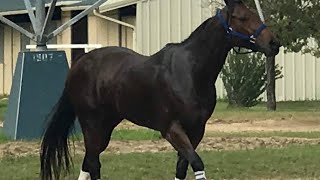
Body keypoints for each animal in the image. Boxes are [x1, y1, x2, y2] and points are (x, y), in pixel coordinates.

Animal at [40, 0, 280, 179]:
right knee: (93, 163)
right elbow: (197, 163)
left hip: (106, 125)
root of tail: (79, 63)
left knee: (89, 163)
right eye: (242, 17)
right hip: (92, 124)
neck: (190, 71)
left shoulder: (196, 130)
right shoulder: (171, 129)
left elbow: (182, 168)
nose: (273, 43)